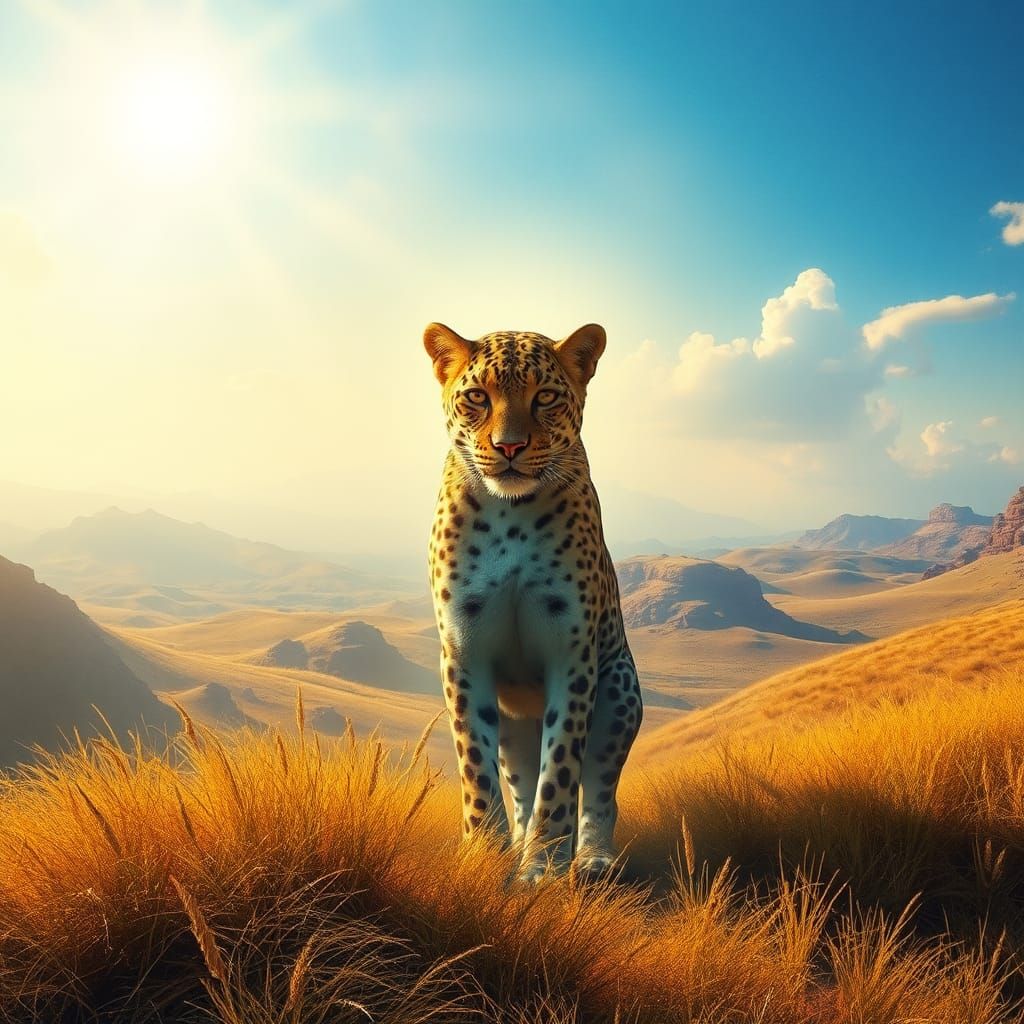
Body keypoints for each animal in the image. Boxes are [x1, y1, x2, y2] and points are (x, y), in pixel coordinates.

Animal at [423, 321, 643, 882]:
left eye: (544, 397)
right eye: (478, 397)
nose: (509, 447)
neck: (511, 515)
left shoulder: (572, 654)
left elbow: (561, 769)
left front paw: (542, 866)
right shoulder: (464, 653)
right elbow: (475, 768)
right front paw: (484, 857)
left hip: (620, 690)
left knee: (601, 788)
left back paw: (591, 857)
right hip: (513, 728)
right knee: (519, 783)